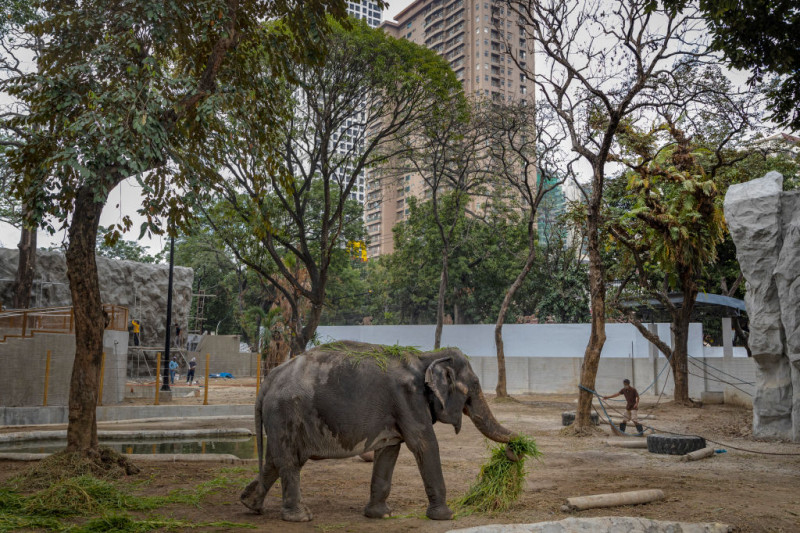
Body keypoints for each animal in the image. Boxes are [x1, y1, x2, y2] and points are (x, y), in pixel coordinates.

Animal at [239, 340, 520, 520]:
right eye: (474, 385)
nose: (514, 451)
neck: (426, 357)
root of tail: (269, 380)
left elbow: (389, 450)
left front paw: (381, 515)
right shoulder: (408, 399)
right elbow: (424, 444)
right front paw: (445, 517)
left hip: (279, 417)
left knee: (274, 460)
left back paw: (250, 505)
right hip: (286, 412)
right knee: (289, 461)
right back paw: (300, 517)